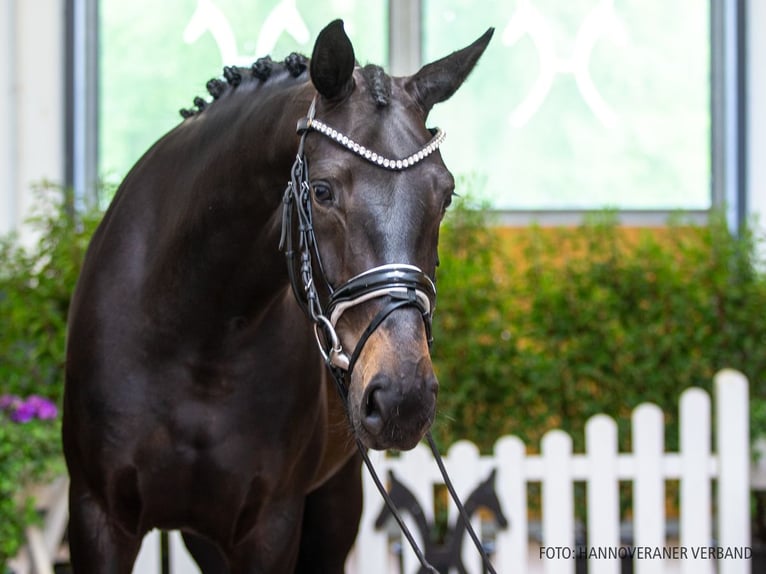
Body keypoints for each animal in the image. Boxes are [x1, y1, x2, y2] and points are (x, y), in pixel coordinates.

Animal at [63, 19, 493, 573]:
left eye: (446, 195)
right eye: (323, 191)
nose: (403, 398)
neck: (197, 335)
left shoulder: (271, 526)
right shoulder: (98, 517)